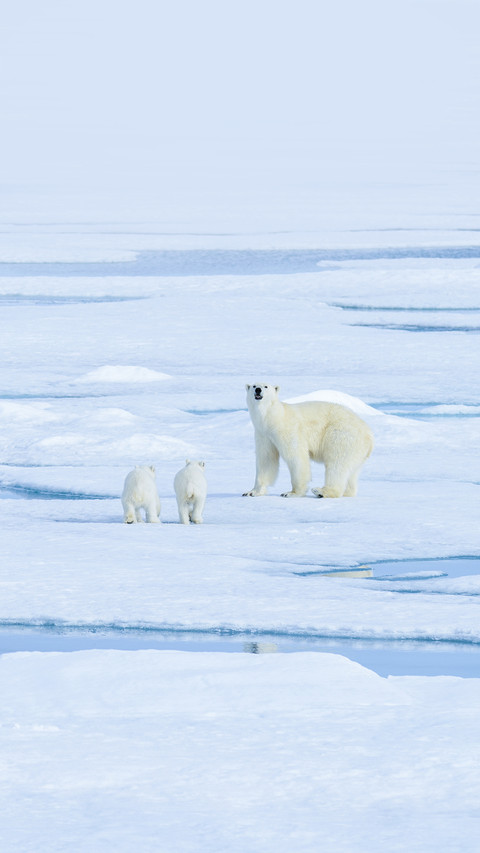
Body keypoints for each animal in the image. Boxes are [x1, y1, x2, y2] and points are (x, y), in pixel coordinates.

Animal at [243, 383, 374, 498]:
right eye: (254, 385)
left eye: (266, 386)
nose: (258, 390)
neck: (273, 418)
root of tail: (369, 433)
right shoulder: (263, 434)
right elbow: (266, 459)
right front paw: (252, 492)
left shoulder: (288, 429)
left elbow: (296, 457)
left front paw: (292, 493)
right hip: (357, 450)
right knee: (352, 471)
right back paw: (347, 492)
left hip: (342, 434)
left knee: (337, 462)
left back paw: (321, 491)